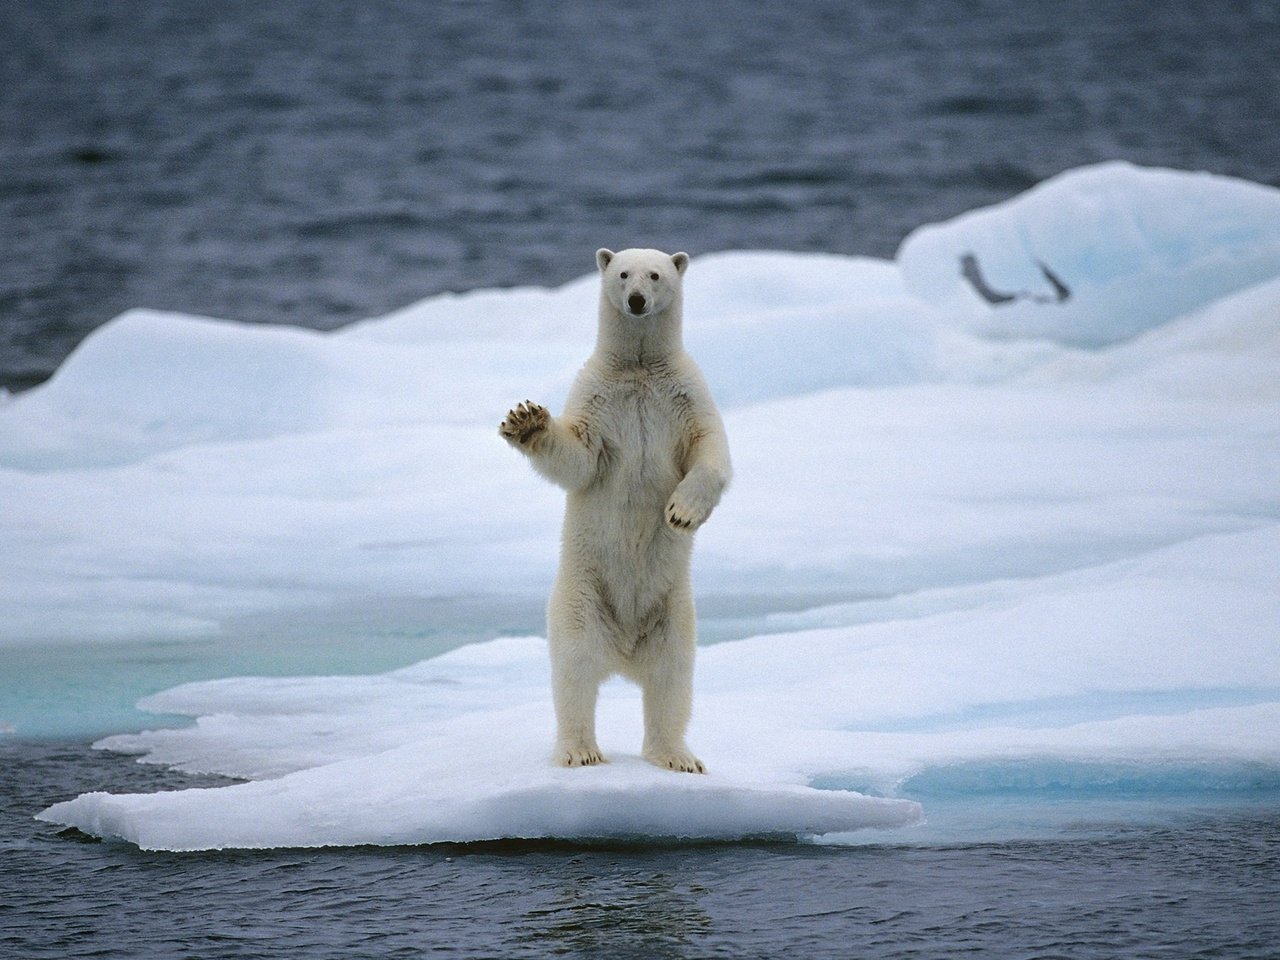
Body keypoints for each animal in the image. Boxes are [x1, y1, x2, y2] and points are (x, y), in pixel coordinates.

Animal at [499, 245, 732, 773]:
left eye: (656, 274)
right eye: (623, 273)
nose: (638, 300)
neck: (640, 369)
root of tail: (624, 653)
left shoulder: (686, 395)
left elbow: (711, 453)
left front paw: (681, 513)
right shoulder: (598, 399)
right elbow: (578, 459)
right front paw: (526, 420)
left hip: (674, 612)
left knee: (672, 679)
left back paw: (677, 756)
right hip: (581, 597)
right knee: (576, 672)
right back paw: (580, 749)